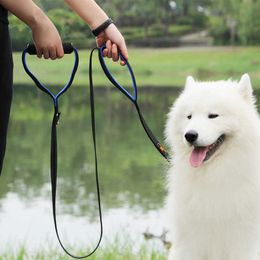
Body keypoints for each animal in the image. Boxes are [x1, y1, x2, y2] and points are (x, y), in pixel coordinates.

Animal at [166, 73, 260, 260]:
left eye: (213, 116)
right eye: (189, 117)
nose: (190, 135)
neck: (215, 174)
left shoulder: (243, 243)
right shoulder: (190, 243)